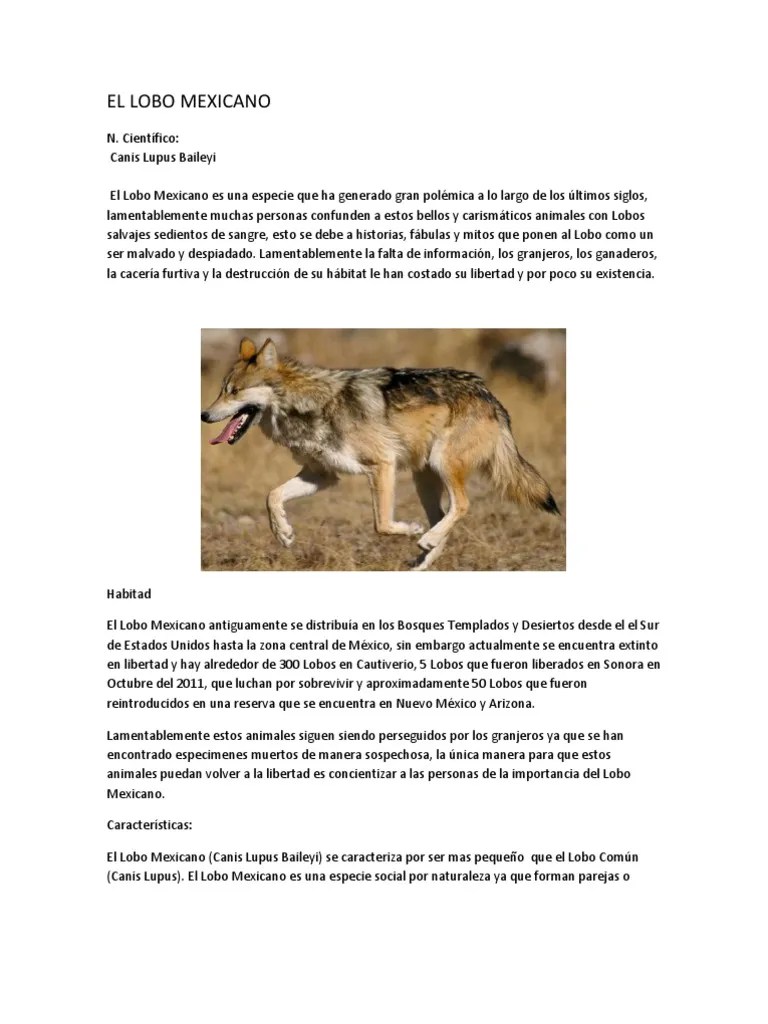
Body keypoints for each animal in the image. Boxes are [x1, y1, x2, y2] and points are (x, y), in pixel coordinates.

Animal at [201, 338, 560, 570]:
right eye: (222, 389)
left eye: (234, 391)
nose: (204, 415)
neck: (308, 405)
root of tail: (488, 394)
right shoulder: (322, 475)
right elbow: (272, 496)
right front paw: (284, 534)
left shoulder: (381, 465)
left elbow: (382, 524)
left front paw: (411, 530)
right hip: (423, 478)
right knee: (444, 516)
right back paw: (424, 556)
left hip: (441, 465)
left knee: (462, 506)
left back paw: (424, 539)